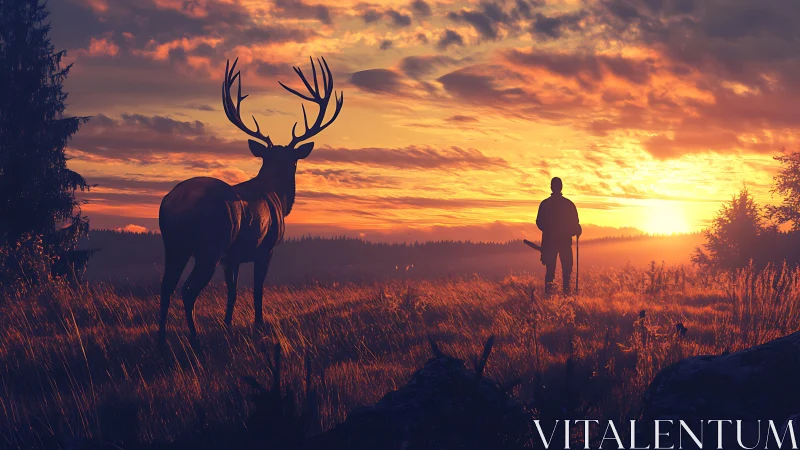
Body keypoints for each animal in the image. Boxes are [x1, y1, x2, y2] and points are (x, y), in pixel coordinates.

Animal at [157, 57, 343, 344]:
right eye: (294, 161)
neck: (279, 198)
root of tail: (175, 204)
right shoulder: (265, 249)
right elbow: (258, 291)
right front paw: (258, 326)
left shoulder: (232, 258)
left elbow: (232, 294)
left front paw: (227, 326)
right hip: (210, 246)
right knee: (187, 290)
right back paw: (195, 338)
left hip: (174, 244)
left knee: (166, 286)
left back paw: (161, 340)